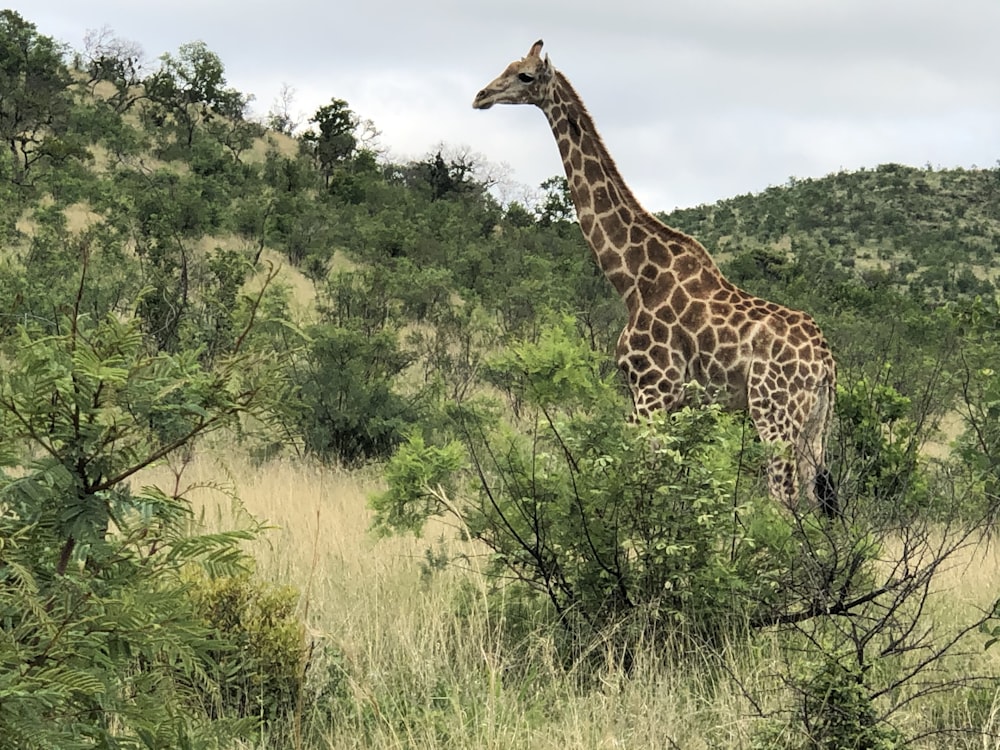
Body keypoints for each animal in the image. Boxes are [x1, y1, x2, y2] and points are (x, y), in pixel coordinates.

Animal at [472, 38, 840, 516]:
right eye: (508, 66)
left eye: (525, 76)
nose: (481, 96)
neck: (633, 278)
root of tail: (827, 362)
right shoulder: (670, 400)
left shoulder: (654, 388)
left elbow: (641, 481)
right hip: (815, 423)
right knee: (814, 500)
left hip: (773, 411)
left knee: (784, 500)